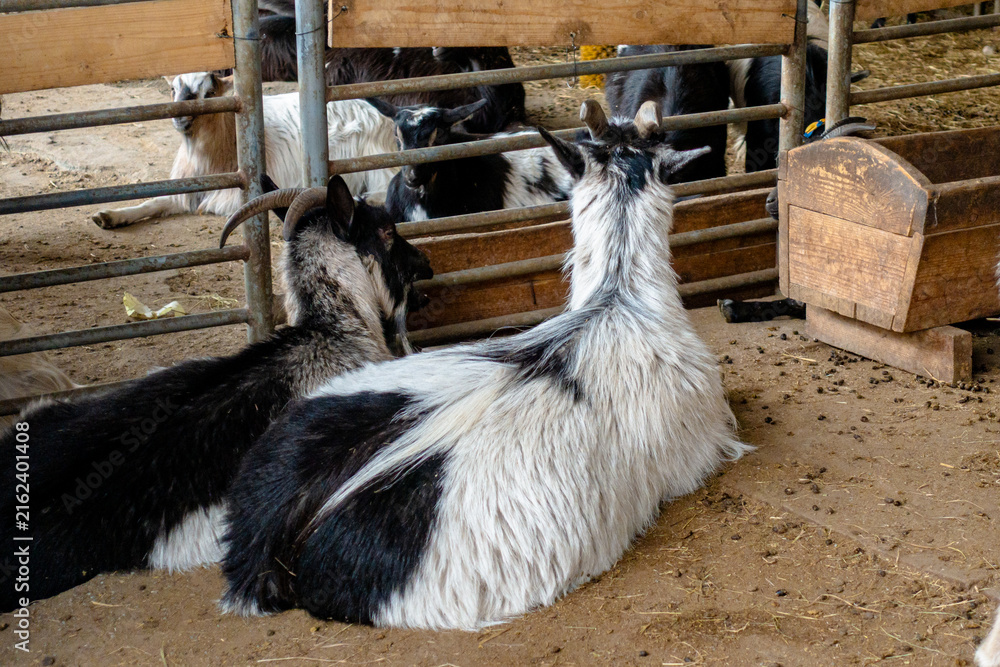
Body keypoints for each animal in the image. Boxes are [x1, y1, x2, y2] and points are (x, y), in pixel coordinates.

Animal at [91, 72, 398, 229]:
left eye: (210, 93)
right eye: (172, 90)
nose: (180, 117)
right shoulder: (186, 188)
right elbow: (152, 203)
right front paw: (110, 216)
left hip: (376, 159)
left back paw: (365, 197)